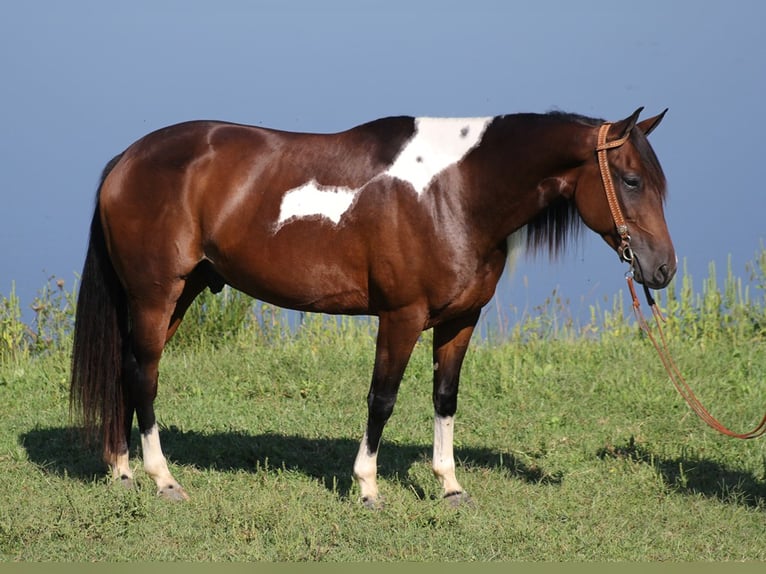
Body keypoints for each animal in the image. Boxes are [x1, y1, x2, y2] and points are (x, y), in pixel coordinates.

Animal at [69, 106, 676, 506]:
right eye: (630, 180)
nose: (663, 270)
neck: (455, 192)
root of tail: (126, 160)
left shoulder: (461, 320)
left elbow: (445, 397)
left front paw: (450, 485)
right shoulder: (401, 317)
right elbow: (381, 399)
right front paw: (367, 487)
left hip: (178, 295)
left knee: (127, 370)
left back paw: (122, 471)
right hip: (156, 295)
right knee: (144, 375)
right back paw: (162, 478)